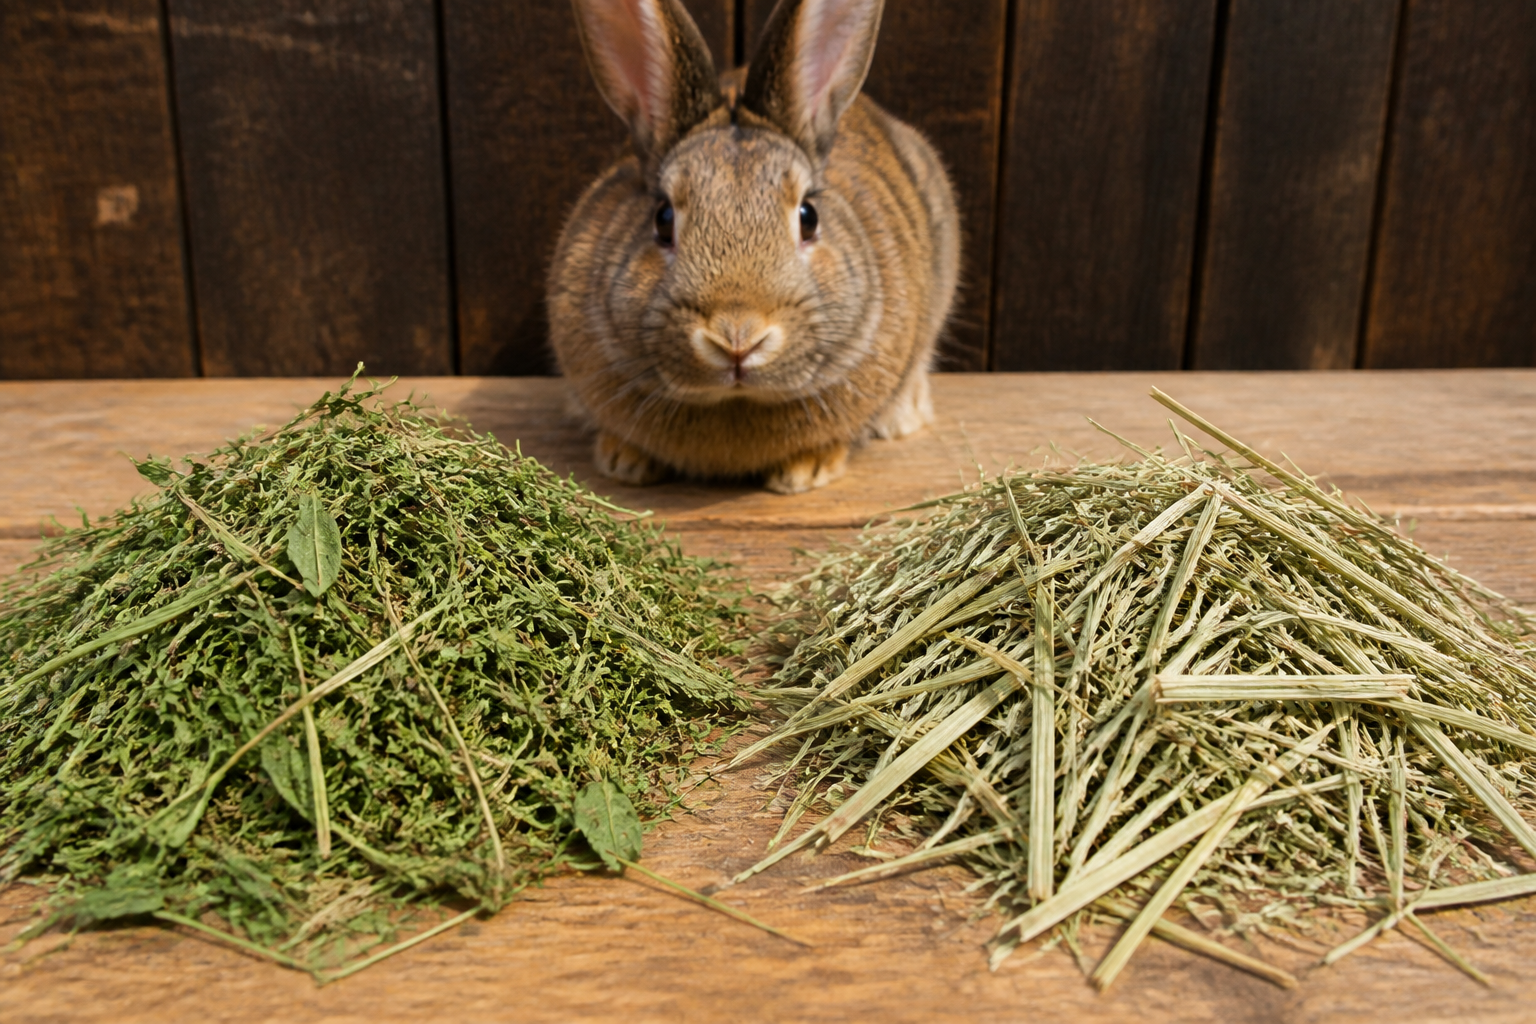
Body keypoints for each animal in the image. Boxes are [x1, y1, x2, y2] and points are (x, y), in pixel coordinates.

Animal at [549, 0, 959, 494]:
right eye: (663, 219)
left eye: (808, 217)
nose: (737, 338)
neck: (733, 402)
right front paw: (622, 461)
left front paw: (804, 472)